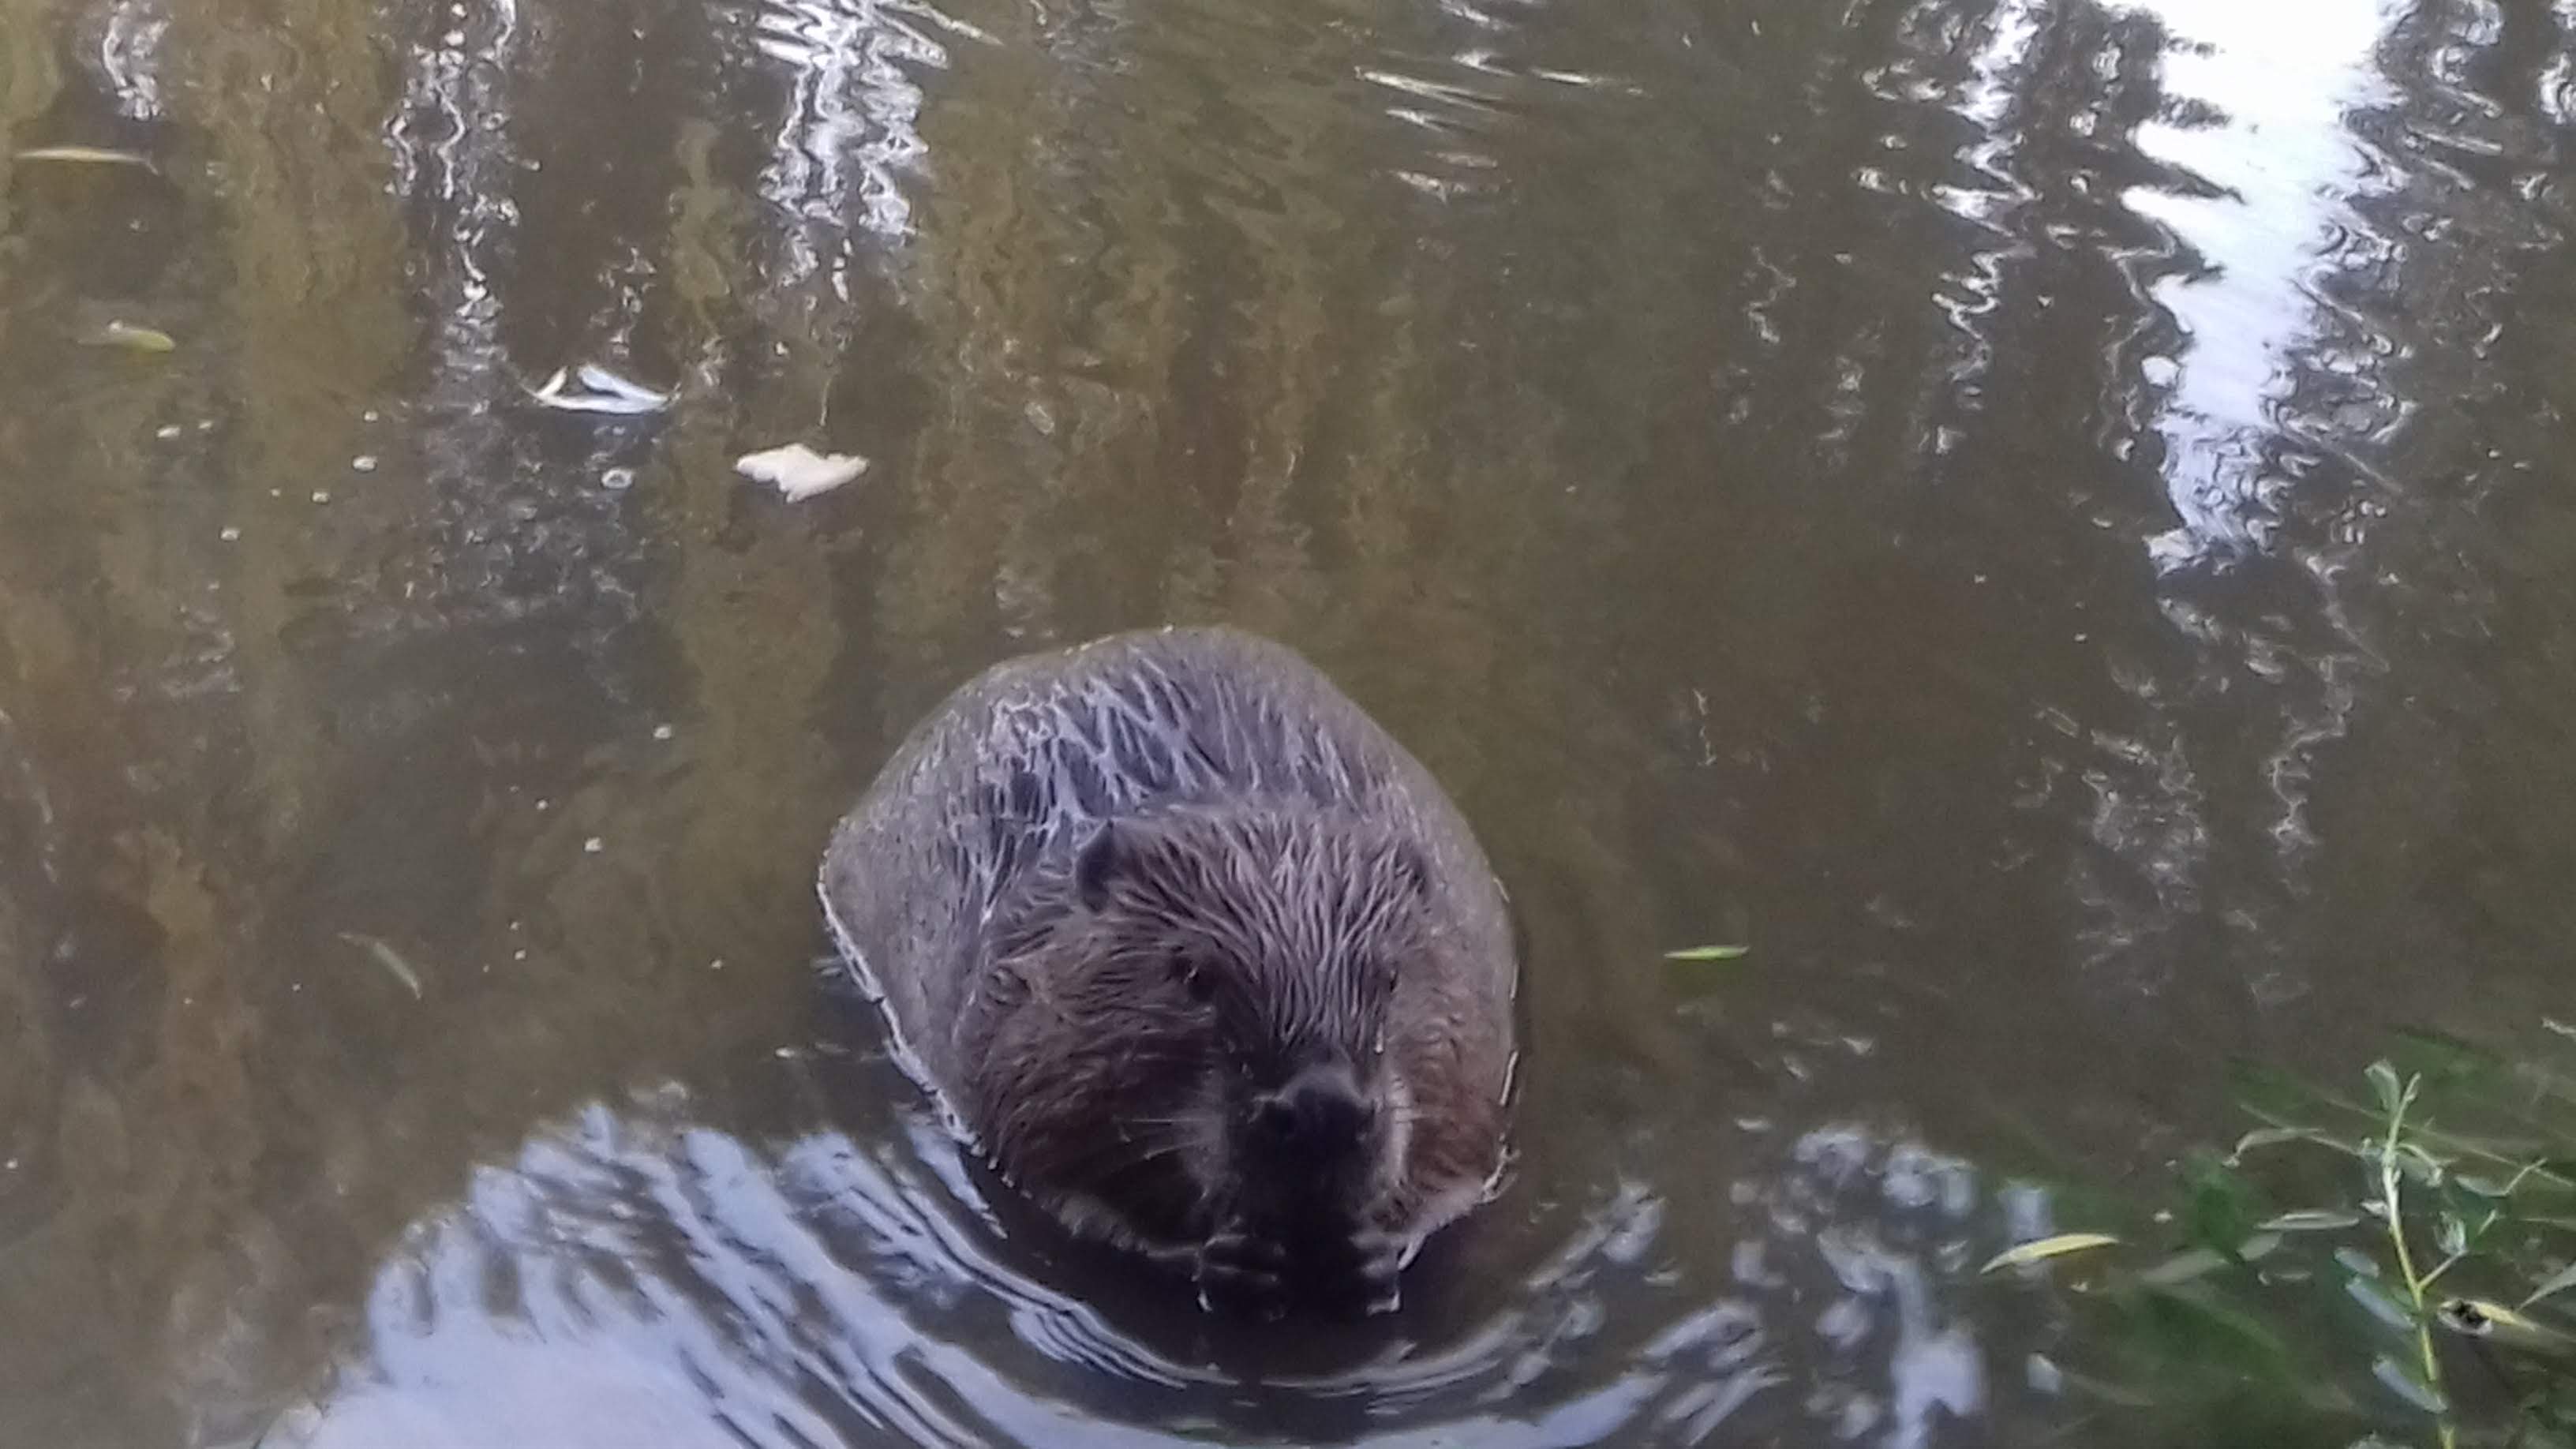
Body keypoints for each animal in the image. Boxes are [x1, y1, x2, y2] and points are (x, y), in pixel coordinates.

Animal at [814, 623, 1515, 1309]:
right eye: (1194, 977)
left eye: (1390, 978)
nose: (1323, 1110)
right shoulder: (1008, 1019)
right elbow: (1052, 1184)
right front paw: (1227, 1259)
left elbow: (1462, 1177)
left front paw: (1375, 1250)